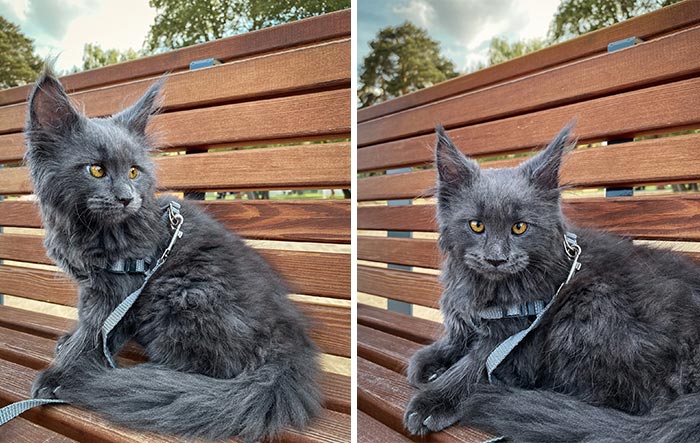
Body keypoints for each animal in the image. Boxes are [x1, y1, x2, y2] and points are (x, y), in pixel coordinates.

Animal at [26, 70, 322, 443]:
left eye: (134, 172)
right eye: (96, 170)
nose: (127, 198)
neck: (91, 229)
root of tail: (290, 343)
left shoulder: (117, 291)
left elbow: (94, 332)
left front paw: (61, 375)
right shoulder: (96, 288)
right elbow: (91, 326)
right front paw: (70, 343)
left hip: (180, 291)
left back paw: (141, 381)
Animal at [404, 125, 700, 443]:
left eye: (519, 227)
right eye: (476, 225)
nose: (496, 259)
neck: (489, 288)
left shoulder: (516, 338)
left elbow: (473, 365)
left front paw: (433, 401)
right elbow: (454, 341)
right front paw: (429, 362)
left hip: (589, 305)